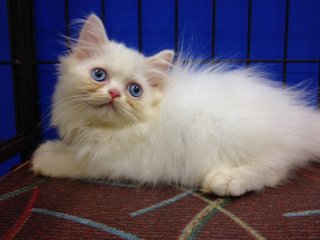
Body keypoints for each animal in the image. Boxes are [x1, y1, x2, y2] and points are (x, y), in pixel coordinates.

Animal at [31, 14, 320, 197]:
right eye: (99, 75)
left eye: (135, 90)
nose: (114, 94)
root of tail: (300, 116)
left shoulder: (113, 161)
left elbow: (75, 161)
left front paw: (44, 158)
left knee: (274, 169)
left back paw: (226, 180)